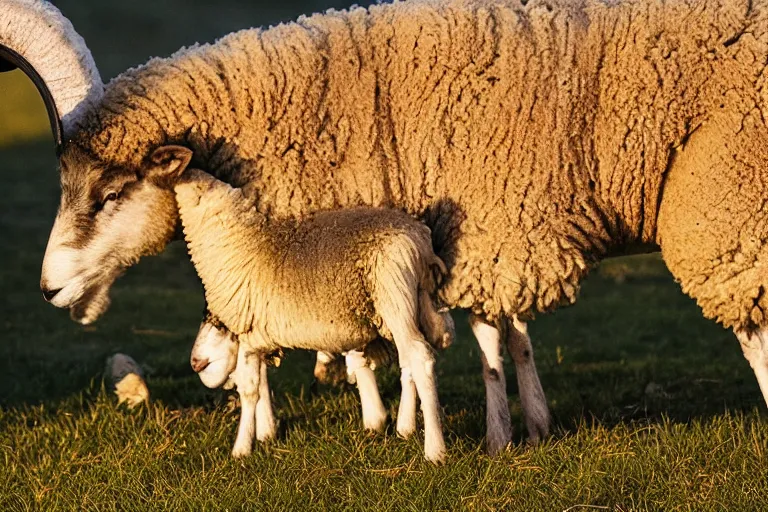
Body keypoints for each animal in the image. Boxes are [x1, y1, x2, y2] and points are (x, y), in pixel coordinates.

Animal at [170, 166, 452, 462]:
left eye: (221, 322)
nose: (195, 363)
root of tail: (420, 243)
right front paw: (261, 435)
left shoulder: (248, 337)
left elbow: (249, 390)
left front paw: (241, 449)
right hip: (408, 306)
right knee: (409, 359)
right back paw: (405, 428)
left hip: (395, 297)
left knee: (419, 357)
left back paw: (435, 451)